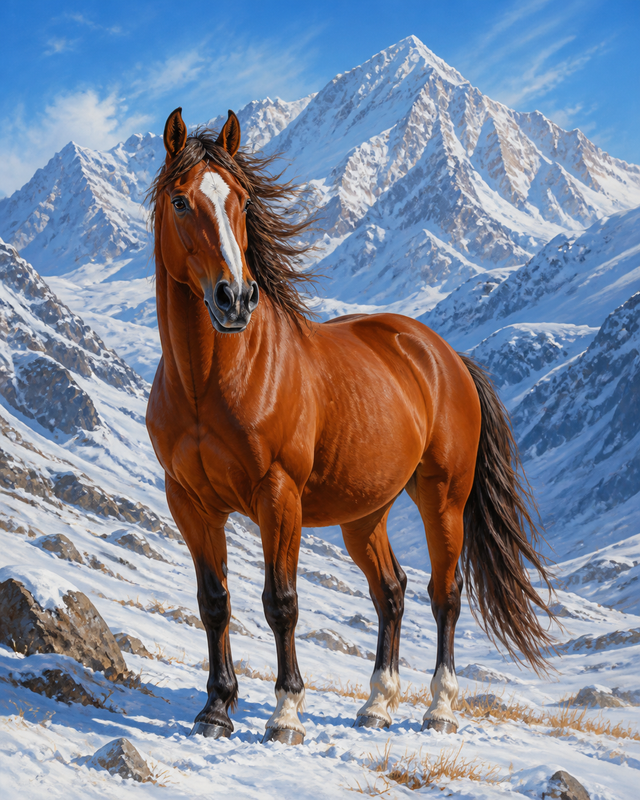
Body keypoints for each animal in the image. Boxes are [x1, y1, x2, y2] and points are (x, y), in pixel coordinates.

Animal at [146, 107, 555, 745]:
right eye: (182, 200)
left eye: (241, 199)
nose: (235, 298)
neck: (208, 383)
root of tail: (443, 355)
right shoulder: (190, 501)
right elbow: (214, 601)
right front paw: (216, 710)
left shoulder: (278, 496)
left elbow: (281, 601)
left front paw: (285, 714)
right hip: (366, 513)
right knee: (391, 591)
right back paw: (377, 704)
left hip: (443, 498)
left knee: (445, 593)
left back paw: (439, 708)